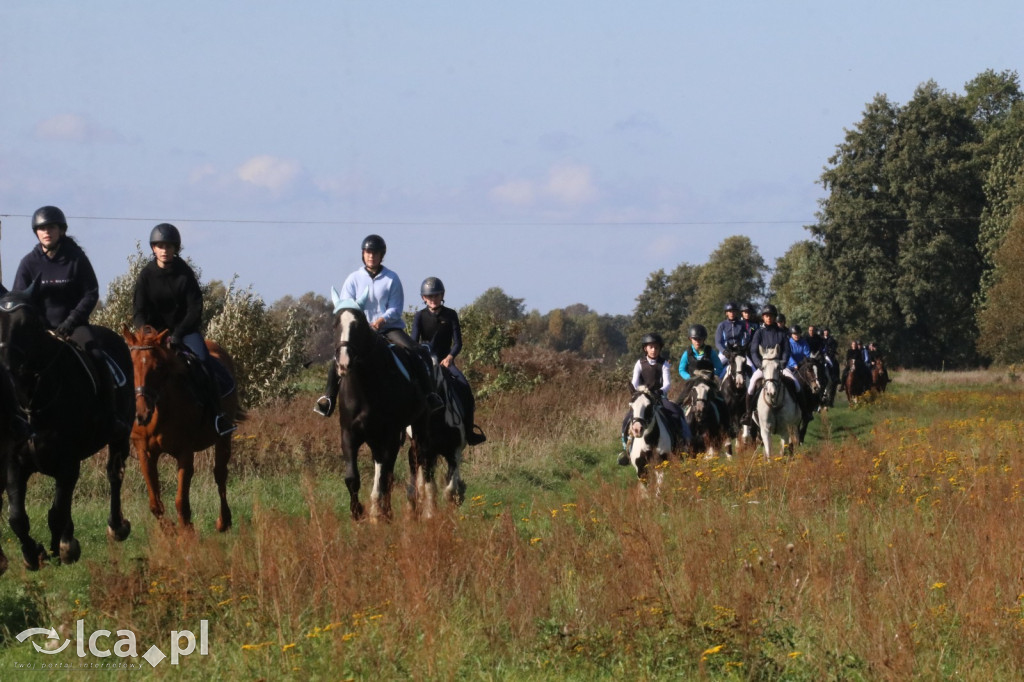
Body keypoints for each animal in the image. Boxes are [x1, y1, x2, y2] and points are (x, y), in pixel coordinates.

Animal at [121, 325, 241, 532]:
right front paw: (169, 530)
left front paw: (186, 532)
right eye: (130, 365)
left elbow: (181, 501)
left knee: (220, 475)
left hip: (223, 438)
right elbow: (155, 503)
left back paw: (223, 522)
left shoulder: (185, 452)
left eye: (159, 367)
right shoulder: (145, 452)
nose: (141, 414)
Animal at [329, 288, 430, 520]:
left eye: (359, 324)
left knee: (413, 460)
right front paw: (357, 512)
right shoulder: (348, 435)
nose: (344, 362)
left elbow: (386, 476)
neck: (365, 387)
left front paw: (382, 513)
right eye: (335, 324)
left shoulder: (389, 436)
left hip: (415, 428)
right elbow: (352, 477)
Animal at [407, 356, 471, 516]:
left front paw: (454, 504)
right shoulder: (427, 452)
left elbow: (450, 487)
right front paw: (430, 513)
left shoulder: (454, 452)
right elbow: (430, 487)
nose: (430, 398)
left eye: (435, 368)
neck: (437, 419)